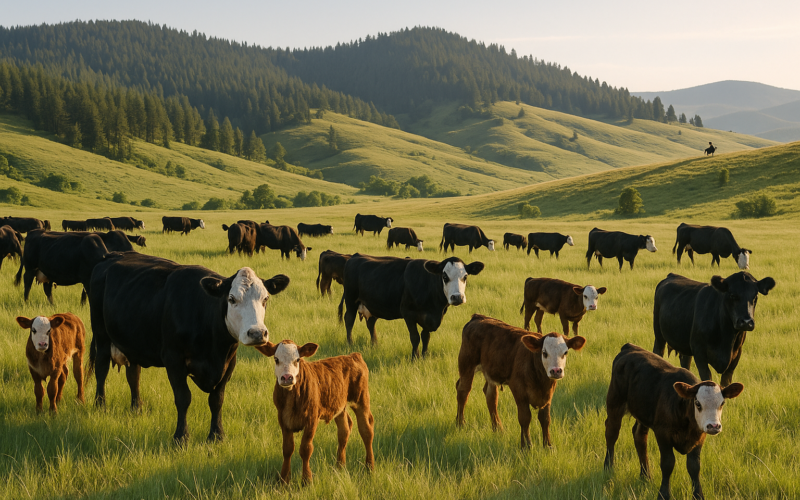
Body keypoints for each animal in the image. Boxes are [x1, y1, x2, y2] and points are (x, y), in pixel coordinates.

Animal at [87, 252, 290, 442]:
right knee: (101, 369)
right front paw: (181, 437)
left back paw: (137, 408)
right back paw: (100, 405)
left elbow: (217, 399)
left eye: (265, 299)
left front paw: (216, 435)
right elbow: (183, 398)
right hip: (101, 335)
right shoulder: (173, 359)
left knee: (133, 376)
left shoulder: (229, 362)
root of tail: (112, 256)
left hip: (132, 343)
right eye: (232, 299)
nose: (257, 333)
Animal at [256, 340, 375, 484]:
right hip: (339, 405)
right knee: (344, 431)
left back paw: (369, 467)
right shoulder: (283, 419)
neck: (292, 397)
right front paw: (284, 480)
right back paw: (339, 467)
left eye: (297, 360)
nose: (287, 377)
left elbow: (306, 449)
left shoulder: (311, 419)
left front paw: (306, 480)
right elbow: (287, 449)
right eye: (276, 359)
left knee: (366, 431)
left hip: (361, 400)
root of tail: (352, 356)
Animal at [338, 254, 484, 359]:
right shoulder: (408, 313)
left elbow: (426, 337)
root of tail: (355, 256)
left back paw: (375, 344)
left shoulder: (430, 317)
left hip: (373, 305)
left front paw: (425, 356)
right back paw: (350, 343)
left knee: (371, 323)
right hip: (351, 300)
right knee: (349, 320)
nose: (457, 297)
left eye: (465, 276)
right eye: (444, 276)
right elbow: (415, 337)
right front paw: (415, 357)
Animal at [456, 314, 586, 448]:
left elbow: (545, 419)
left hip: (490, 372)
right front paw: (526, 446)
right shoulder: (519, 390)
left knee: (491, 397)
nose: (556, 371)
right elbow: (525, 418)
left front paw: (548, 446)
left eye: (565, 352)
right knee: (463, 391)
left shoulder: (548, 395)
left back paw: (498, 428)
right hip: (467, 364)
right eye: (544, 353)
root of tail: (477, 317)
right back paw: (460, 424)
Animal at [604, 344, 744, 500]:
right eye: (697, 403)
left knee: (639, 436)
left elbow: (694, 467)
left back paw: (645, 475)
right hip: (615, 403)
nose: (713, 426)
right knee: (611, 433)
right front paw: (664, 494)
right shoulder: (663, 434)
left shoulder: (699, 437)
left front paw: (698, 495)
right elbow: (668, 464)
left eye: (722, 403)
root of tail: (629, 347)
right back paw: (608, 467)